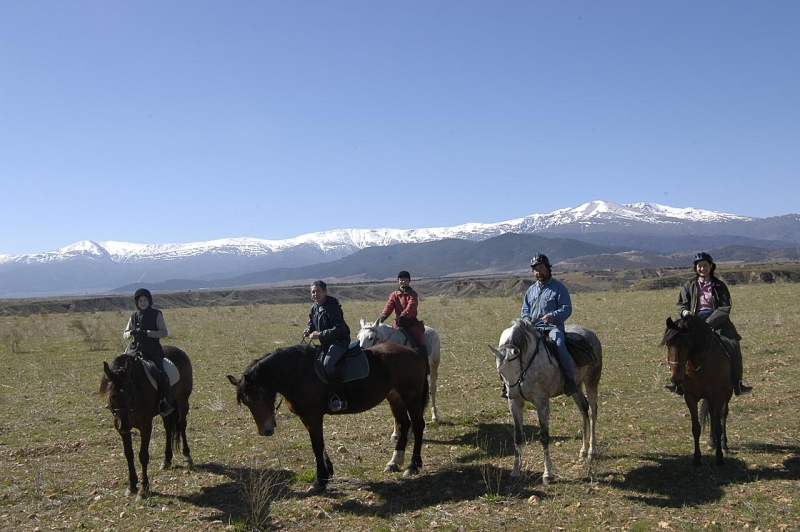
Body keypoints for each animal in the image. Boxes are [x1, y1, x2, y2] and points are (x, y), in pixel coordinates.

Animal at [100, 344, 194, 498]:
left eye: (130, 392)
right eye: (112, 395)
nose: (124, 426)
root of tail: (178, 350)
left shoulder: (145, 425)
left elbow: (143, 455)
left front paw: (144, 489)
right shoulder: (120, 427)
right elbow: (129, 454)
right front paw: (132, 485)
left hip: (183, 401)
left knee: (182, 425)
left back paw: (187, 457)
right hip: (167, 407)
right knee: (168, 427)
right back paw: (166, 459)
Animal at [228, 340, 428, 494]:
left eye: (256, 397)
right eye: (246, 403)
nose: (265, 431)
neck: (297, 372)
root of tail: (414, 351)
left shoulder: (313, 417)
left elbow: (317, 446)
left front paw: (319, 481)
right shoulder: (307, 417)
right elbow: (320, 445)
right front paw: (328, 472)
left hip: (411, 396)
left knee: (418, 425)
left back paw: (413, 465)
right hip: (395, 397)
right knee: (403, 425)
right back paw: (394, 462)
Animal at [488, 318, 600, 484]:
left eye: (516, 368)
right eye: (500, 371)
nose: (511, 394)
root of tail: (589, 332)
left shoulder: (541, 402)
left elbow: (544, 436)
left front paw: (548, 474)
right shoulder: (515, 404)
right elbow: (518, 437)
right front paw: (515, 470)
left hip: (591, 382)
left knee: (592, 412)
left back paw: (592, 451)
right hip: (576, 387)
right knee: (584, 410)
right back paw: (583, 451)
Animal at [664, 316, 732, 466]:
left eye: (687, 344)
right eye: (668, 344)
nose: (675, 379)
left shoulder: (718, 396)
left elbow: (718, 427)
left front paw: (719, 458)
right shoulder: (690, 398)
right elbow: (696, 428)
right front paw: (696, 458)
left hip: (726, 395)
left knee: (723, 415)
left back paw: (723, 445)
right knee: (712, 414)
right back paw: (712, 442)